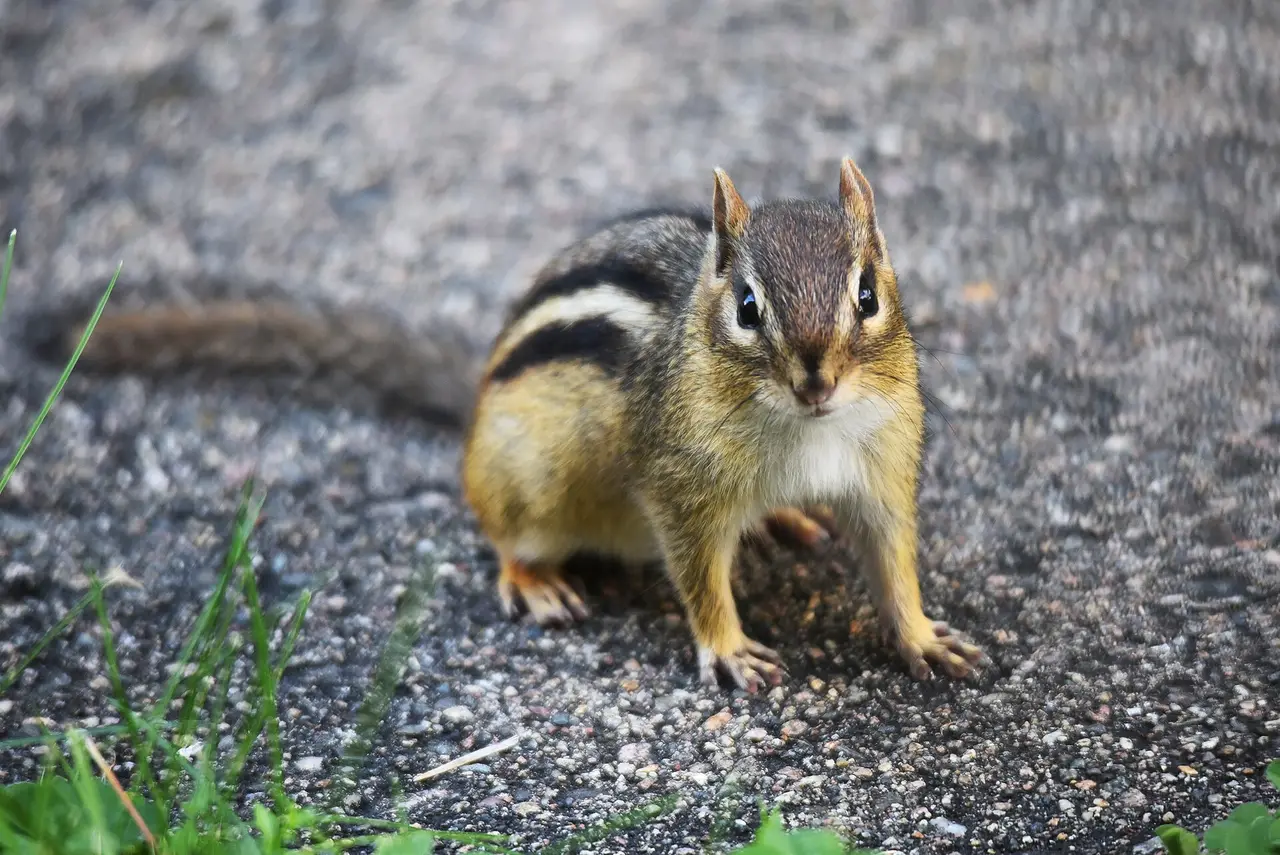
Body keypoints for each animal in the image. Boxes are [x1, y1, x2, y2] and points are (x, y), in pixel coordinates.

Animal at [31, 157, 983, 693]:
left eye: (868, 294)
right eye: (748, 308)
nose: (818, 377)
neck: (804, 430)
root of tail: (480, 391)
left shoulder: (880, 468)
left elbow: (893, 562)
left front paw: (922, 635)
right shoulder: (681, 488)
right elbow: (699, 579)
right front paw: (727, 648)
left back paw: (784, 517)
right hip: (531, 483)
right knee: (502, 532)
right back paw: (534, 580)